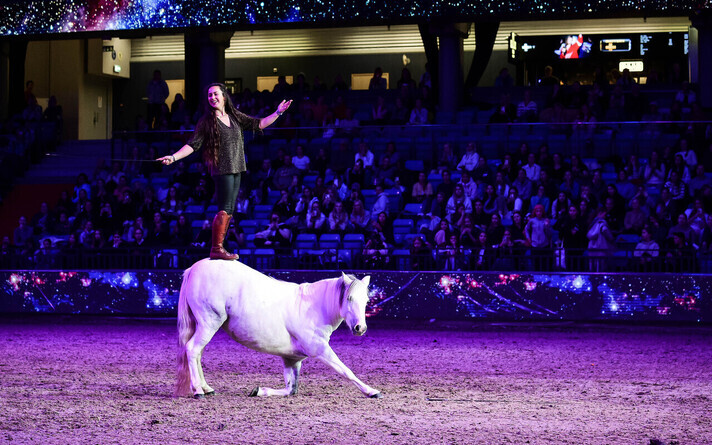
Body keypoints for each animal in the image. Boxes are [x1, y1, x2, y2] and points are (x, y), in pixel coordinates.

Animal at [175, 258, 381, 399]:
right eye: (349, 298)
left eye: (366, 300)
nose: (360, 328)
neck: (314, 306)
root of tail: (195, 267)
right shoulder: (320, 350)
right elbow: (346, 371)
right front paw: (371, 391)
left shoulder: (292, 359)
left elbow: (290, 389)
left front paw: (259, 390)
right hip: (209, 323)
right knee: (192, 350)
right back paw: (198, 390)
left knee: (197, 353)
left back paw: (206, 388)